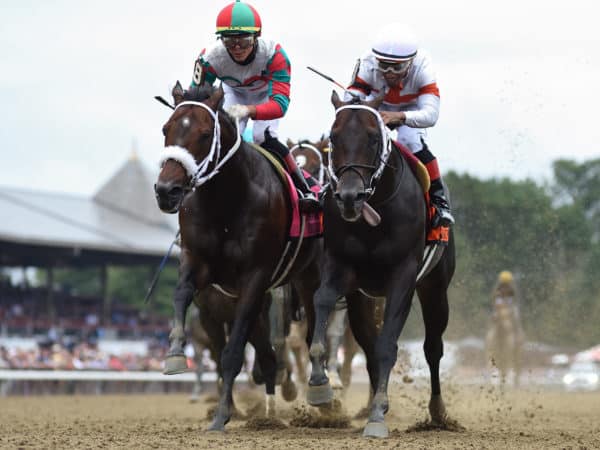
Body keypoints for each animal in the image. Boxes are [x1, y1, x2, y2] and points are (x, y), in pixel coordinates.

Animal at [156, 82, 324, 430]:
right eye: (166, 129)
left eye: (205, 133)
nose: (166, 190)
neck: (225, 201)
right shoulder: (199, 268)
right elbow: (181, 295)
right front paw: (175, 353)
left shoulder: (254, 278)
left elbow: (233, 353)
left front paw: (222, 415)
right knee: (267, 355)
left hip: (307, 277)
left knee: (313, 328)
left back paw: (318, 391)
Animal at [308, 89, 458, 438]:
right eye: (334, 137)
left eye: (374, 137)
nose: (350, 196)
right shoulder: (340, 266)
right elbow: (322, 300)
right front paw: (320, 383)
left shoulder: (403, 276)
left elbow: (389, 343)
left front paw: (377, 414)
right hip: (363, 297)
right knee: (368, 342)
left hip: (435, 287)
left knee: (433, 347)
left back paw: (437, 411)